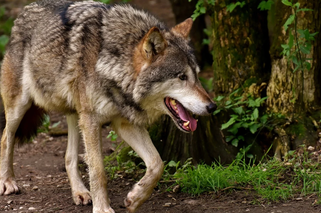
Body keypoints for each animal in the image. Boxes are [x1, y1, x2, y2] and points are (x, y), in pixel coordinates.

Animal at [0, 0, 216, 212]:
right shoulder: (92, 120)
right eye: (182, 77)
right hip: (20, 107)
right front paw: (103, 208)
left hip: (76, 114)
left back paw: (80, 192)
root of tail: (24, 11)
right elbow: (98, 170)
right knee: (5, 138)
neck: (113, 65)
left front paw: (135, 198)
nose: (212, 106)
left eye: (197, 76)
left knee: (69, 157)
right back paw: (7, 182)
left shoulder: (124, 123)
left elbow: (157, 163)